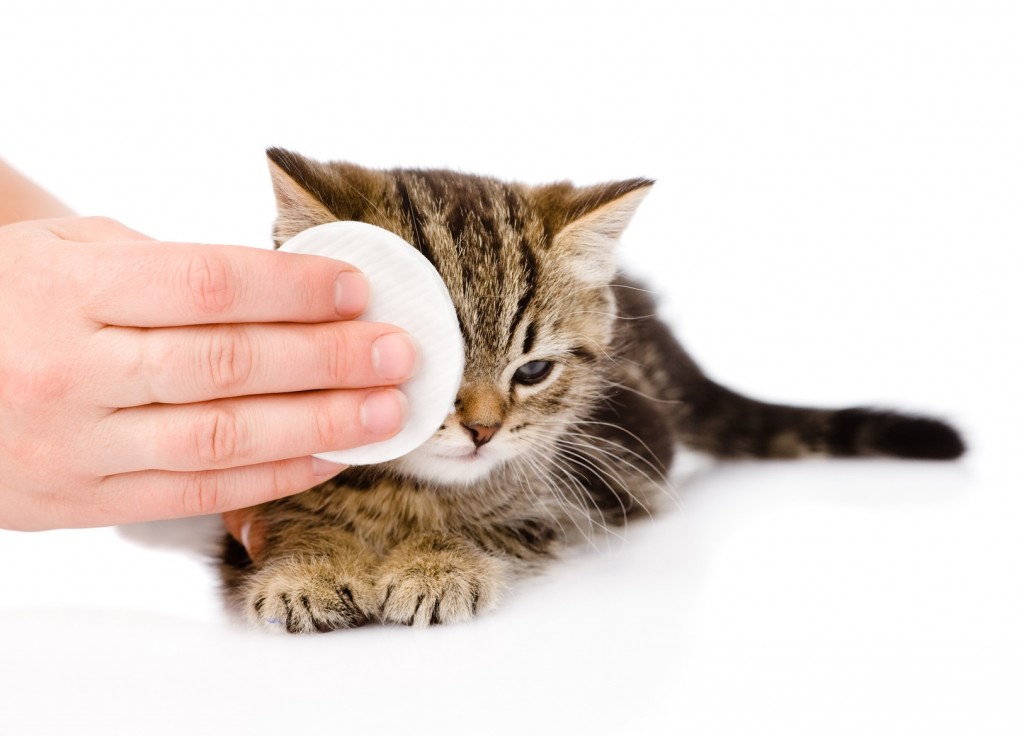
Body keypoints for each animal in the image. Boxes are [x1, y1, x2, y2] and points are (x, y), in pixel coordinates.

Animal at [220, 149, 962, 634]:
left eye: (533, 373)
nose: (483, 430)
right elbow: (287, 520)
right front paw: (307, 568)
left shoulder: (599, 477)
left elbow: (506, 518)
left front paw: (437, 564)